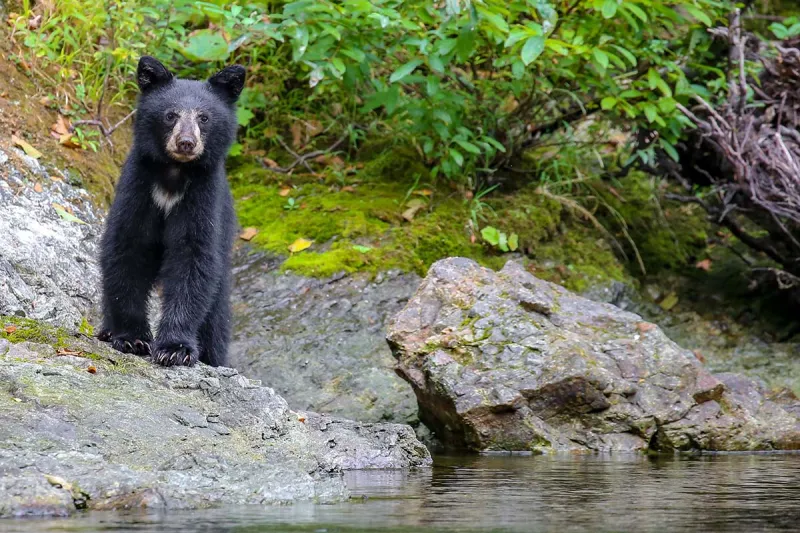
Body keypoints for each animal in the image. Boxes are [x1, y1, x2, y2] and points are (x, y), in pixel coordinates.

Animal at [97, 56, 244, 367]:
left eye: (204, 117)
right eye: (170, 115)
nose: (186, 142)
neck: (174, 174)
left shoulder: (203, 196)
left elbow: (193, 258)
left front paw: (175, 348)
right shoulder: (138, 187)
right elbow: (126, 248)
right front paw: (131, 338)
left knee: (216, 319)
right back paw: (107, 330)